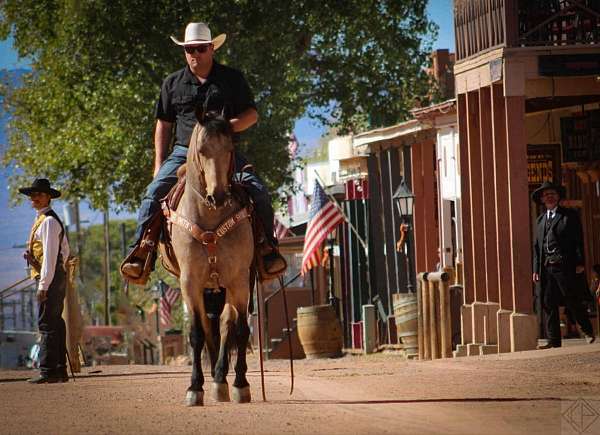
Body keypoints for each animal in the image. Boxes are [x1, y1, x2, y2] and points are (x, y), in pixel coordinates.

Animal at [161, 108, 254, 406]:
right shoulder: (189, 282)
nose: (219, 195)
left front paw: (240, 384)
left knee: (224, 326)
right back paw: (215, 378)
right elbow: (197, 333)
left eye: (230, 148)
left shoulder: (239, 280)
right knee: (209, 328)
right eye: (201, 150)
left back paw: (222, 378)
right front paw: (195, 388)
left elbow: (239, 329)